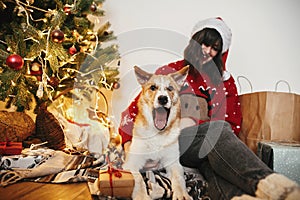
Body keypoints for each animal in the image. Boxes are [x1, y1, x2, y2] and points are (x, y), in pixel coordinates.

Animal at [122, 65, 191, 199]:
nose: (163, 98)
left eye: (170, 88)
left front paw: (182, 194)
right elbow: (139, 180)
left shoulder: (173, 163)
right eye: (153, 88)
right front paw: (142, 196)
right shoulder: (131, 164)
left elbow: (179, 179)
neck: (157, 135)